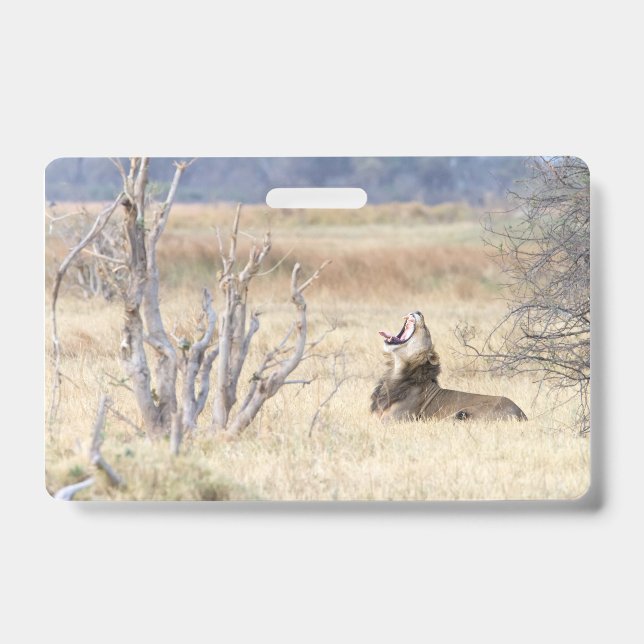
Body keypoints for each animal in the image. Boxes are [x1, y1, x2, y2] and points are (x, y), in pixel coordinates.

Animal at [370, 311, 527, 422]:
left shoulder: (392, 421)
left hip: (460, 414)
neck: (396, 371)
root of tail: (522, 415)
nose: (418, 312)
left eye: (426, 329)